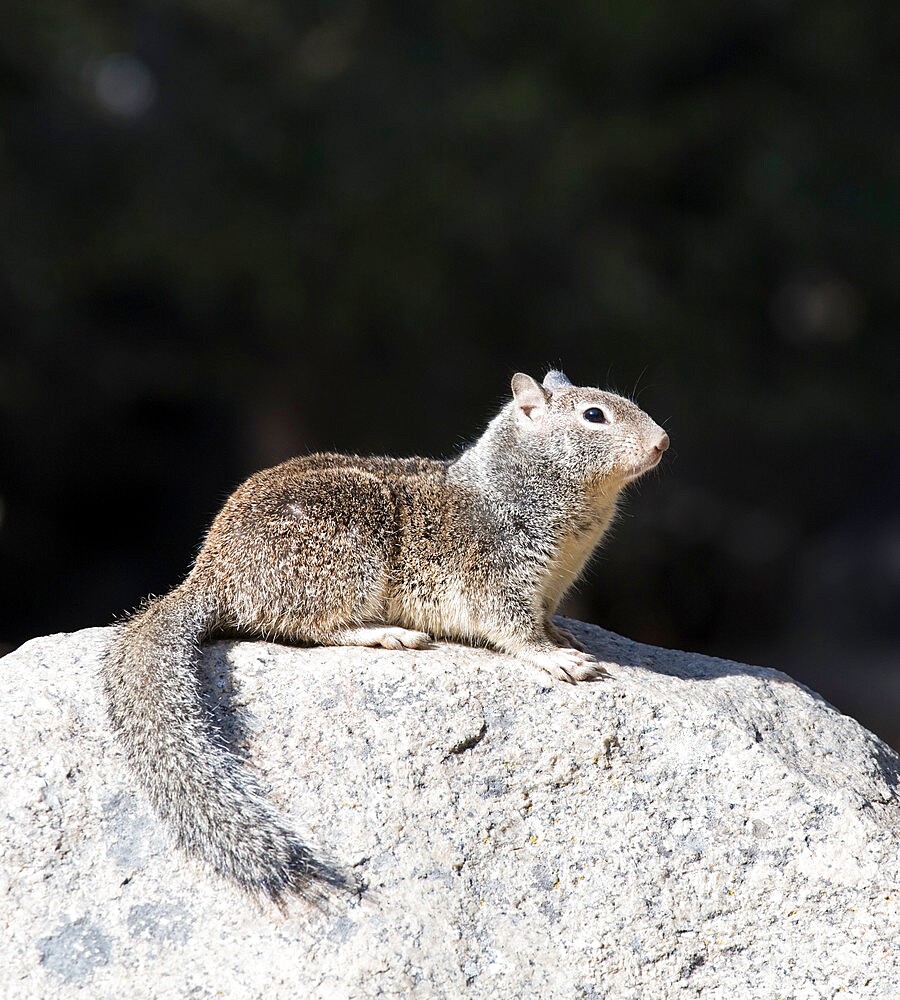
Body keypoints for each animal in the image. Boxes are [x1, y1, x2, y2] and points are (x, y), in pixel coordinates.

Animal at [103, 372, 668, 904]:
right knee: (312, 628)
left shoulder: (552, 586)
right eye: (594, 415)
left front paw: (566, 636)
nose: (663, 441)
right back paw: (384, 634)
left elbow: (547, 619)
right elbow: (514, 629)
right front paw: (556, 658)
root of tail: (209, 574)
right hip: (344, 560)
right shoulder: (497, 575)